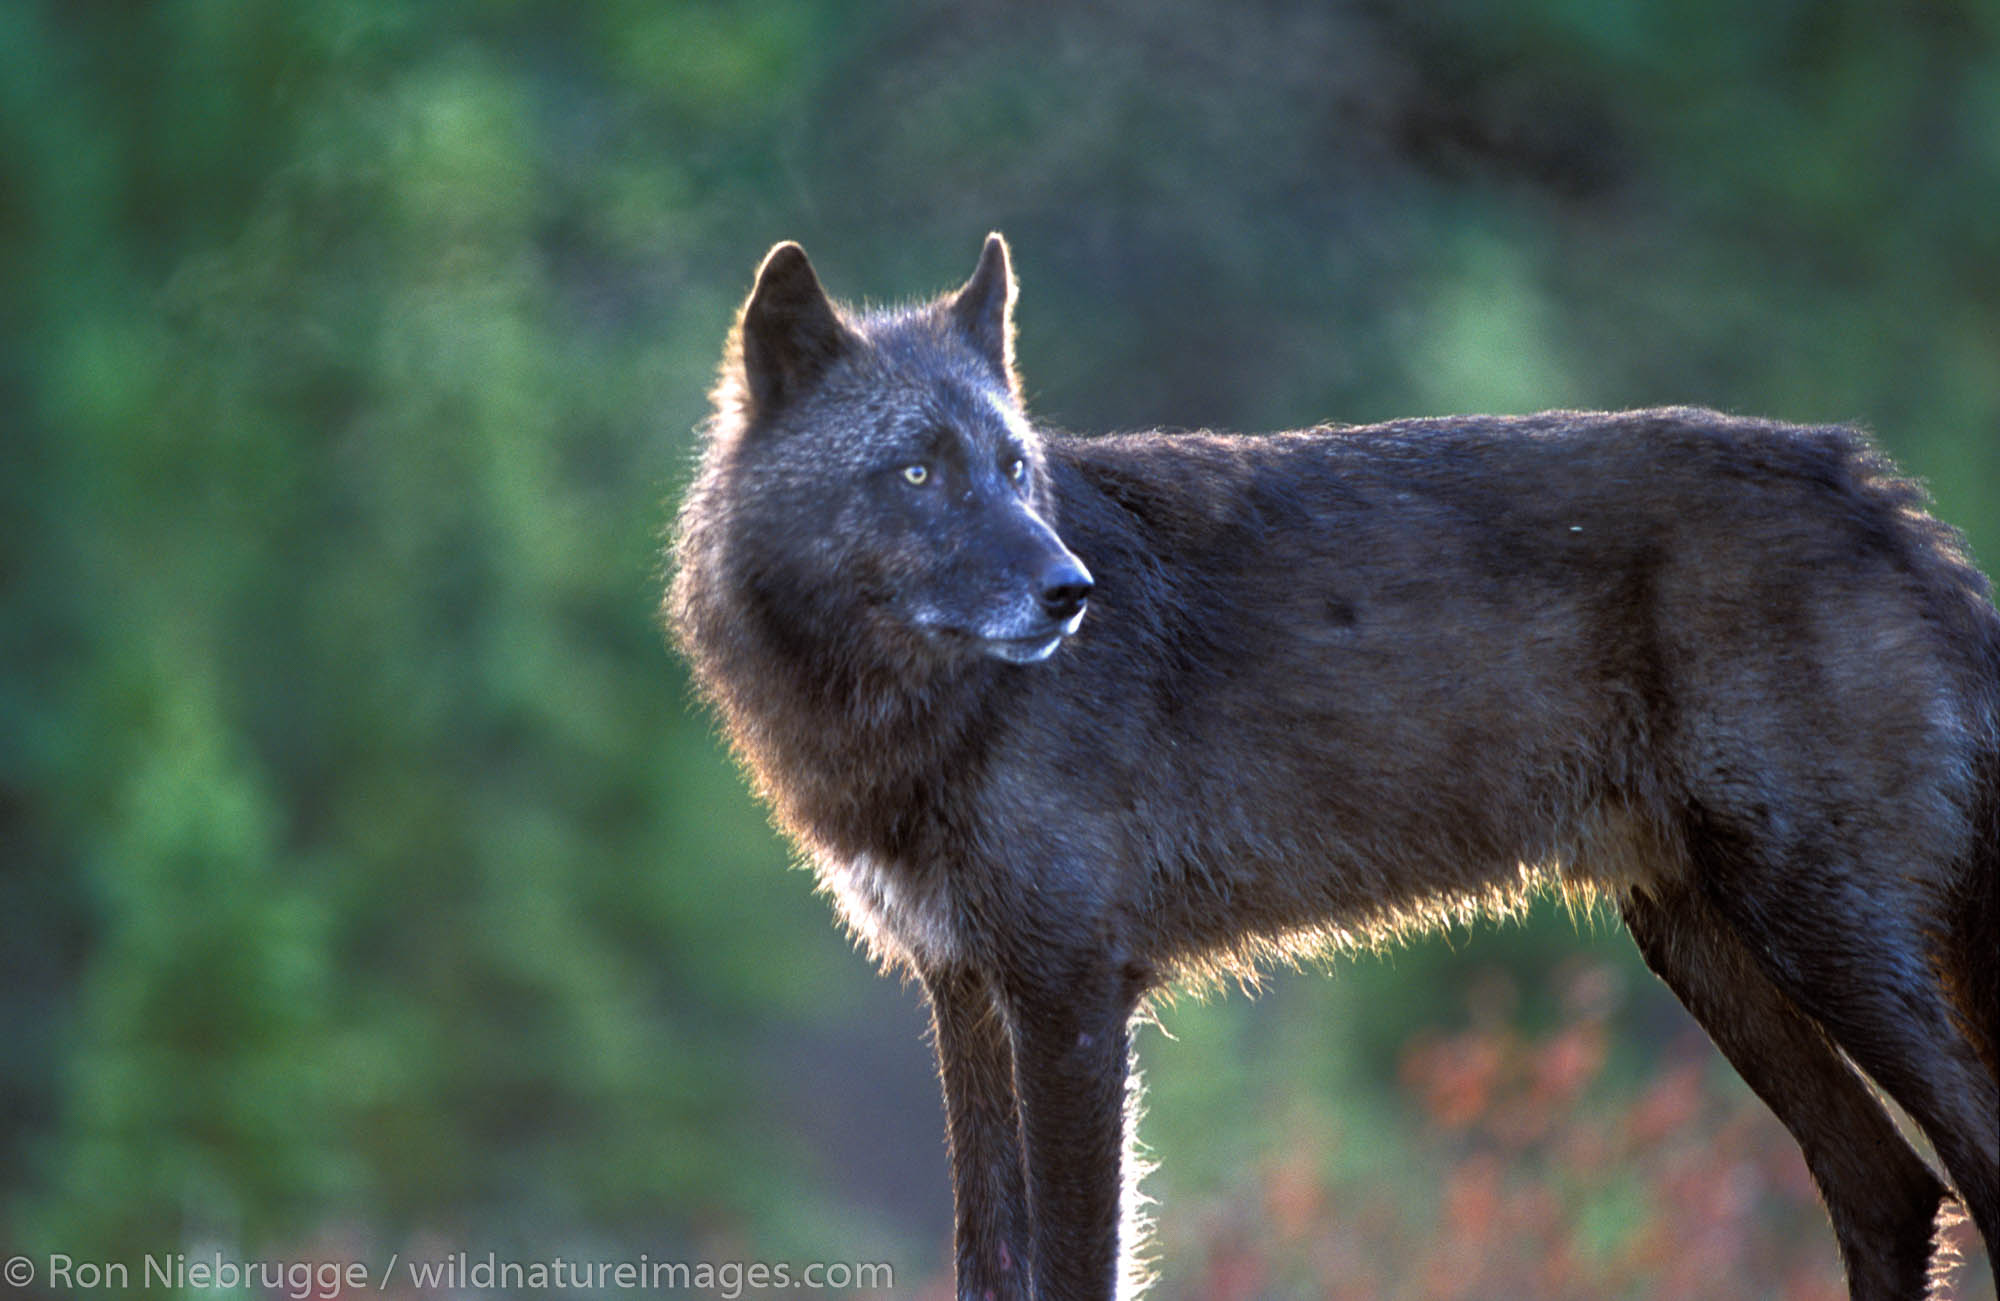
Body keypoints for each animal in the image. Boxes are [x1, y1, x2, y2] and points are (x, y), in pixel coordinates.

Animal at [672, 235, 2000, 1296]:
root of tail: (1883, 498)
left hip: (1819, 939)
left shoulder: (1071, 996)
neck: (911, 716)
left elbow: (1073, 1264)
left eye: (1011, 468)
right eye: (915, 471)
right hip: (1706, 949)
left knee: (1967, 1160)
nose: (1068, 591)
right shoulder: (966, 995)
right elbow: (989, 1265)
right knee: (1886, 1187)